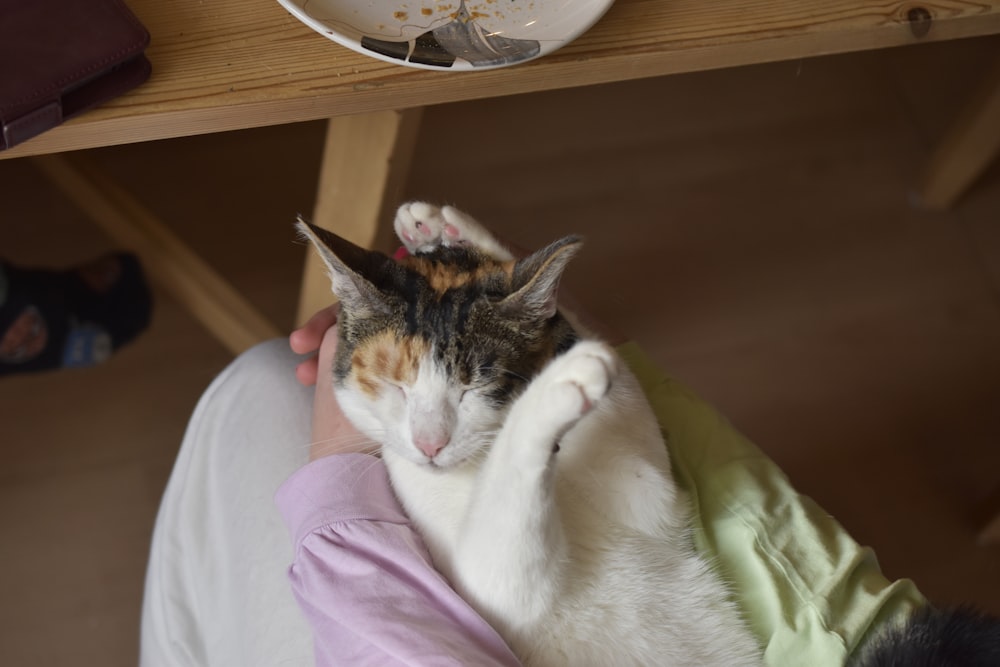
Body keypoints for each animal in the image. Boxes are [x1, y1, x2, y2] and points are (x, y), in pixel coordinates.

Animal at [292, 204, 760, 667]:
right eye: (395, 386)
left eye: (474, 388)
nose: (430, 444)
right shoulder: (494, 590)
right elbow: (505, 573)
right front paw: (562, 380)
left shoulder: (650, 500)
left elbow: (642, 454)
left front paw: (450, 229)